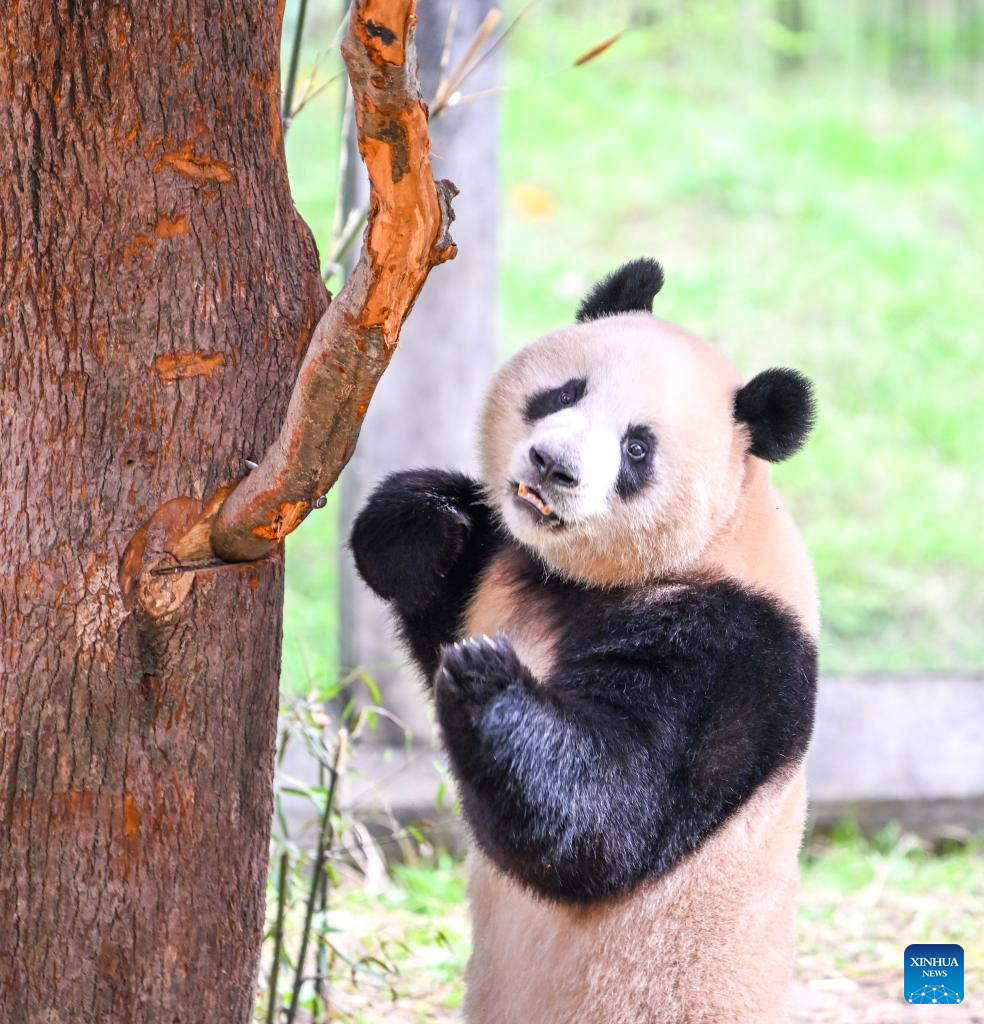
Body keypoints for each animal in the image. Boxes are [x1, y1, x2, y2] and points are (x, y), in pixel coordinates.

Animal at [350, 258, 818, 1024]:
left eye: (637, 447)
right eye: (566, 392)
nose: (552, 465)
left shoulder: (735, 647)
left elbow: (611, 813)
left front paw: (487, 678)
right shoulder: (504, 570)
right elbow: (432, 586)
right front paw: (424, 522)